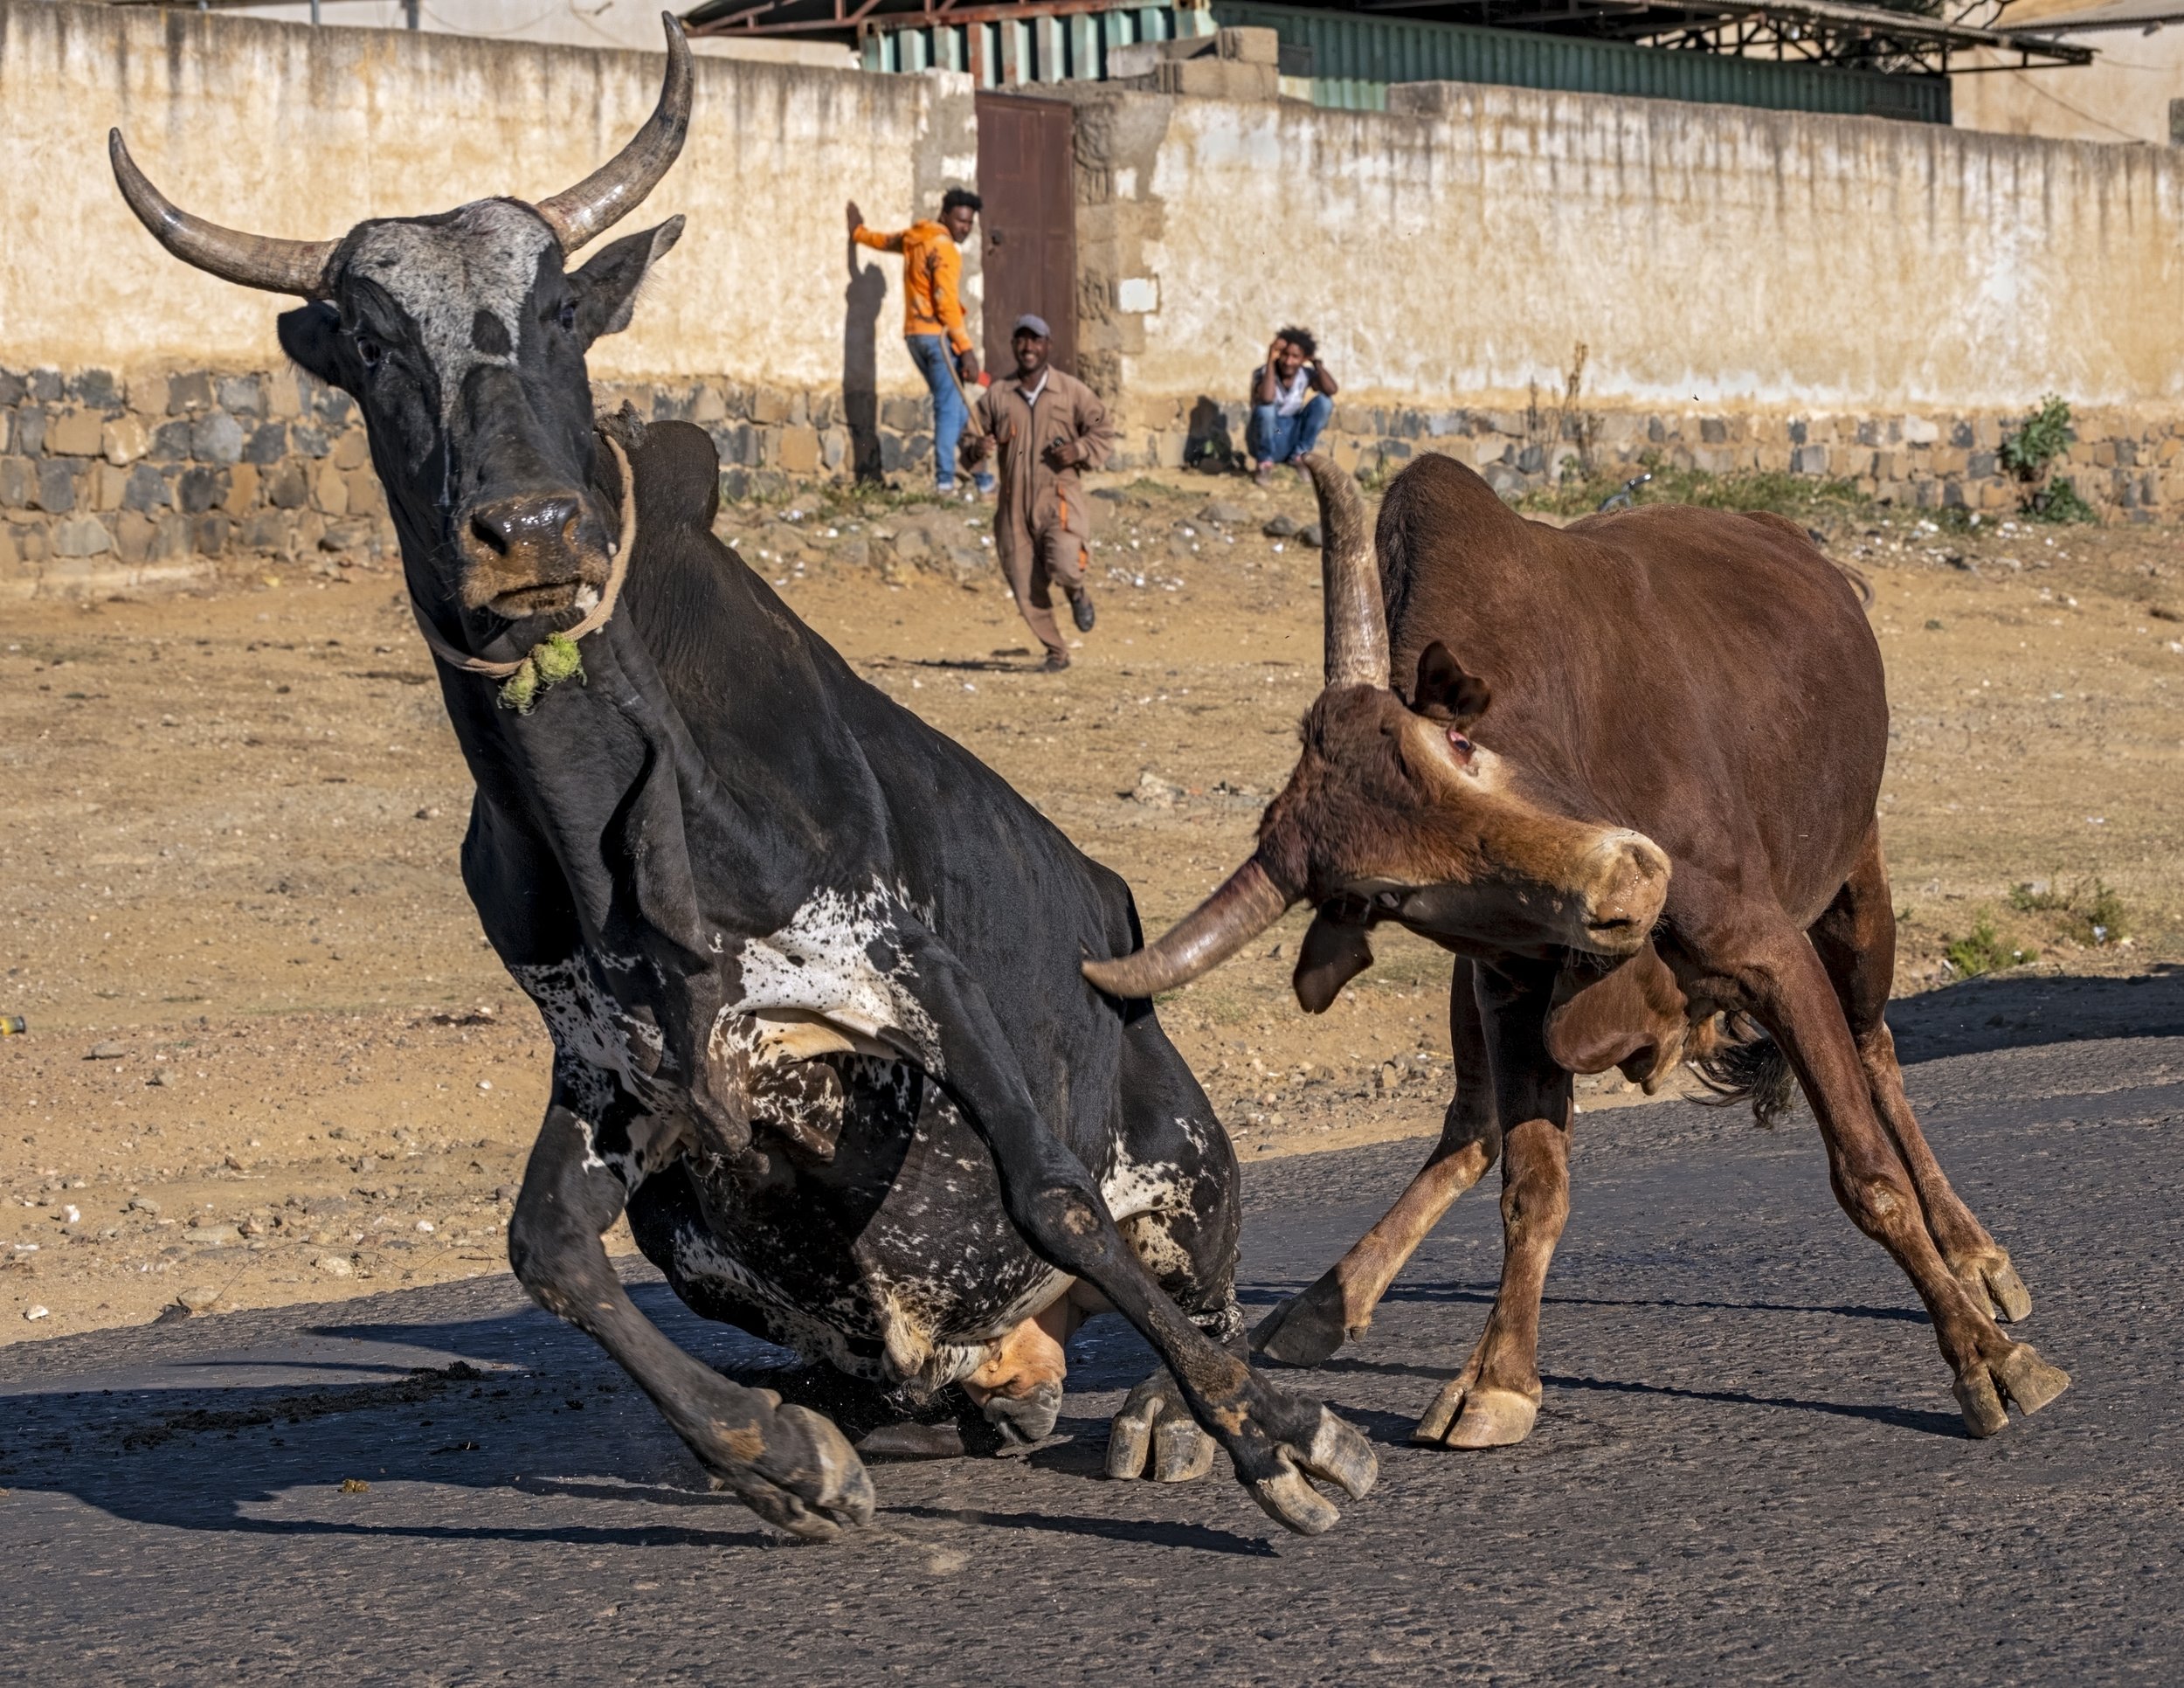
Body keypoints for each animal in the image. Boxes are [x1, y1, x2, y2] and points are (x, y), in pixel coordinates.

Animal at [110, 17, 1376, 1539]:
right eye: (367, 339)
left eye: (561, 314)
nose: (530, 529)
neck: (613, 804)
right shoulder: (615, 1061)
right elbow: (546, 1250)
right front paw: (774, 1455)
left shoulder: (912, 970)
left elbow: (1055, 1200)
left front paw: (1277, 1436)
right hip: (701, 1224)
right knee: (906, 1355)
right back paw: (927, 1400)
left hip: (1192, 1153)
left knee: (1193, 1283)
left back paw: (1166, 1413)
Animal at [1086, 453, 2072, 1447]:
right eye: (1382, 894)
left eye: (1456, 743)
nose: (1628, 883)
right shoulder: (1507, 993)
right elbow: (1532, 1186)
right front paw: (1496, 1379)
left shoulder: (1769, 951)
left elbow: (1867, 1175)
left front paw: (1987, 1358)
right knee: (1471, 1126)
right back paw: (1327, 1303)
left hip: (1855, 891)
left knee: (1877, 1054)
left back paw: (1974, 1258)